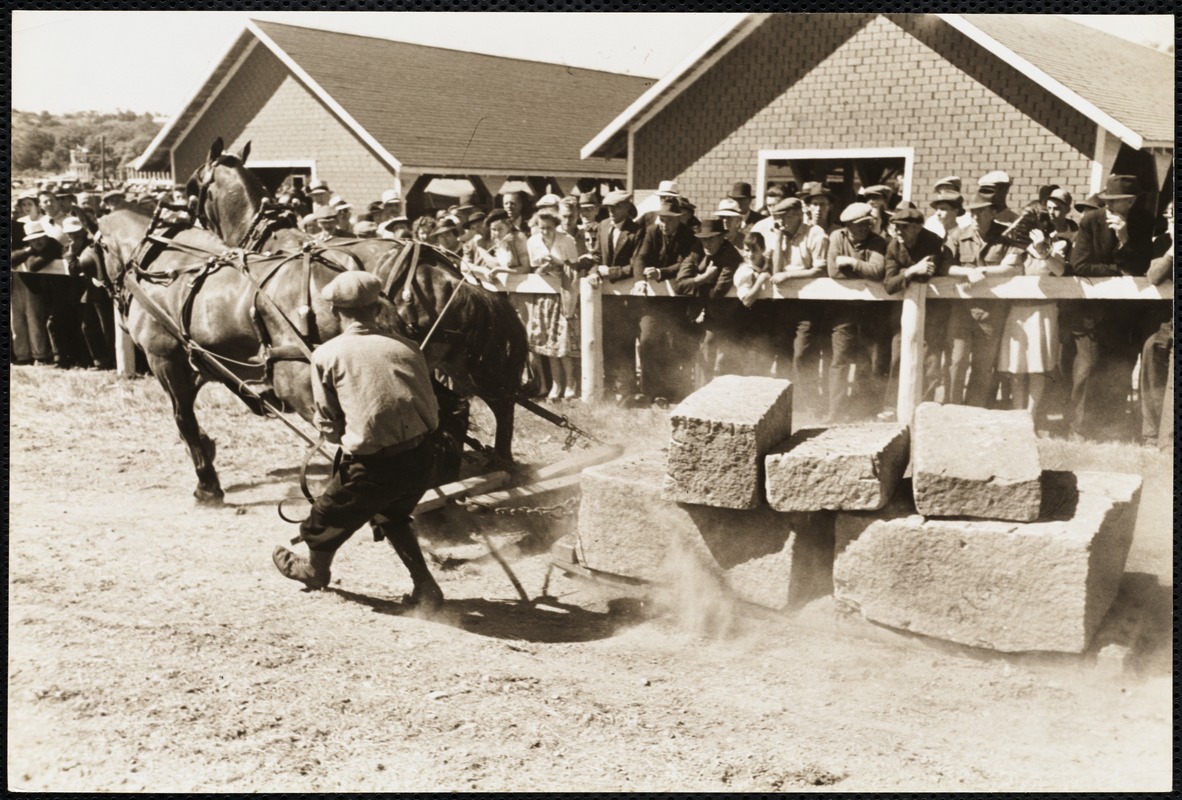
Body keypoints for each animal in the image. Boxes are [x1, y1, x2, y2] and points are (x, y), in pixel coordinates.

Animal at [186, 138, 529, 460]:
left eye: (191, 188)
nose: (187, 221)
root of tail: (445, 276)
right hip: (462, 363)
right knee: (497, 405)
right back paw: (499, 460)